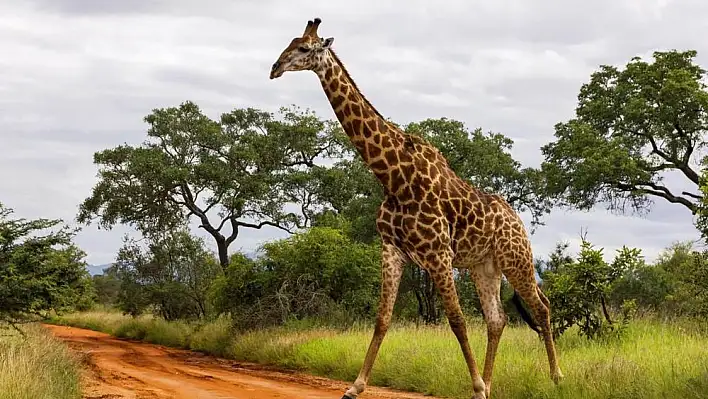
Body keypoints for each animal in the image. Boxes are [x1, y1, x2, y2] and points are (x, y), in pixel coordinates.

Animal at [270, 18, 564, 399]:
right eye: (289, 43)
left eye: (305, 48)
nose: (275, 68)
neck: (394, 178)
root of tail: (518, 221)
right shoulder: (392, 250)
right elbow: (382, 319)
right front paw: (355, 386)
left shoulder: (438, 253)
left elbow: (456, 320)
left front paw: (475, 387)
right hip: (484, 266)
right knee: (497, 319)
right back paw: (492, 383)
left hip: (516, 258)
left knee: (541, 306)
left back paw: (555, 377)